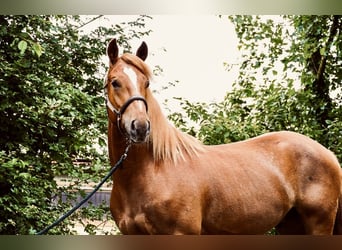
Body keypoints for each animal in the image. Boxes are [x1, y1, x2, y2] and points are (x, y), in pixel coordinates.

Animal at [104, 39, 342, 234]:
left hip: (319, 224)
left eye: (146, 83)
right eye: (115, 82)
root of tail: (329, 155)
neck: (152, 169)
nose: (140, 127)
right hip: (291, 225)